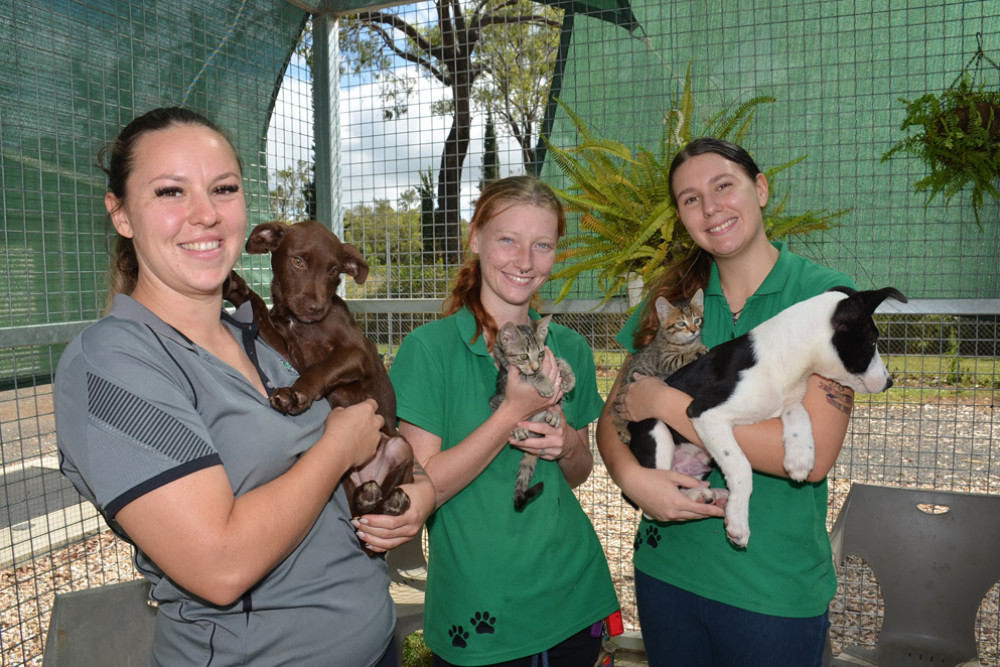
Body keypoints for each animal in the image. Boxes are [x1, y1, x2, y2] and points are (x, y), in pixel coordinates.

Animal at [224, 220, 414, 520]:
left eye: (334, 270)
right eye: (298, 261)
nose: (316, 308)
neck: (301, 323)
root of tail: (368, 476)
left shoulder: (357, 353)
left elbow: (321, 367)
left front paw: (295, 394)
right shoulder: (282, 345)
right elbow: (257, 305)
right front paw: (237, 288)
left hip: (401, 446)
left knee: (377, 508)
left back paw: (395, 500)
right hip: (341, 475)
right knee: (357, 508)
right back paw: (367, 496)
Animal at [488, 316, 576, 516]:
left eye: (541, 354)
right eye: (523, 356)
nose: (536, 367)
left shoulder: (550, 357)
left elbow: (559, 360)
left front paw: (569, 378)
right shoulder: (511, 370)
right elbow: (527, 375)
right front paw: (544, 382)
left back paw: (554, 415)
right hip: (497, 399)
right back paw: (518, 429)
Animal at [632, 288, 908, 548]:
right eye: (871, 342)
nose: (889, 382)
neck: (786, 358)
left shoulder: (785, 402)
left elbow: (800, 413)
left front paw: (800, 457)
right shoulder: (704, 413)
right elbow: (741, 467)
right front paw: (738, 523)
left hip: (704, 457)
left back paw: (709, 494)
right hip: (658, 431)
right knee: (656, 500)